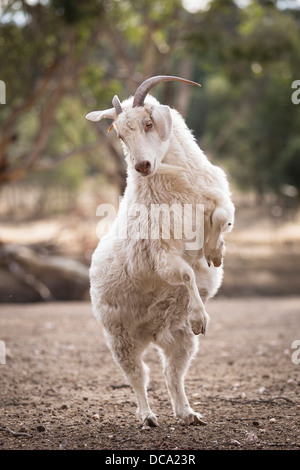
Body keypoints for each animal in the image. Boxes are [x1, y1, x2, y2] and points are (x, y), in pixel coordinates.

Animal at [85, 76, 236, 426]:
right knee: (138, 375)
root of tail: (153, 333)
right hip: (120, 337)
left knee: (172, 374)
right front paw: (200, 317)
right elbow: (185, 273)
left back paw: (187, 413)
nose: (142, 165)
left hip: (178, 338)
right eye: (121, 135)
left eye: (148, 123)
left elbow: (220, 218)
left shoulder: (218, 198)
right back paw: (148, 417)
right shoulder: (160, 254)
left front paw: (215, 252)